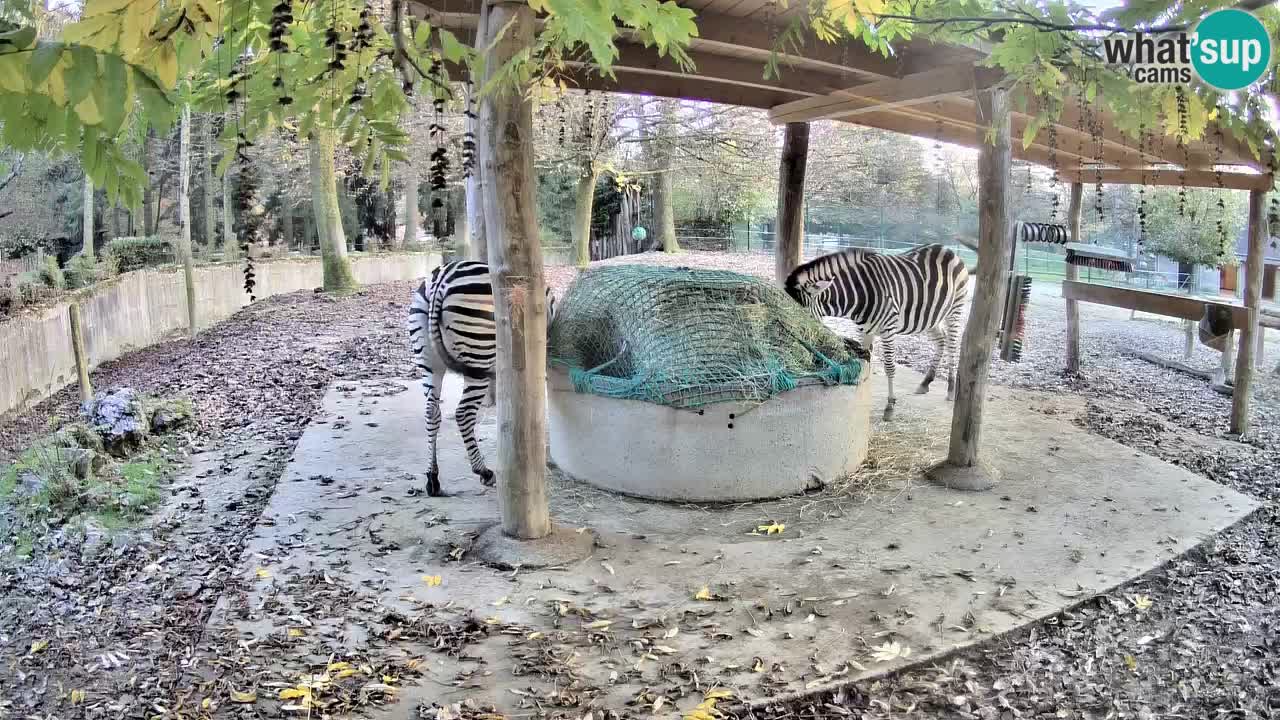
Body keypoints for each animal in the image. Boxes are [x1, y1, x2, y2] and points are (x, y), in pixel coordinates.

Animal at [404, 260, 555, 497]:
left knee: (431, 411)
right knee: (463, 413)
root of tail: (440, 281)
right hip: (477, 355)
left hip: (428, 359)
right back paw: (483, 471)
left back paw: (432, 478)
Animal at [778, 242, 967, 420]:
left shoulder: (888, 328)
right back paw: (926, 382)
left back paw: (951, 389)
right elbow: (866, 357)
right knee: (941, 340)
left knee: (952, 346)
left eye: (799, 315)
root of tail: (947, 249)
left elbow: (889, 366)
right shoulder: (864, 329)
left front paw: (890, 406)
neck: (859, 294)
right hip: (929, 317)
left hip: (954, 310)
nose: (789, 347)